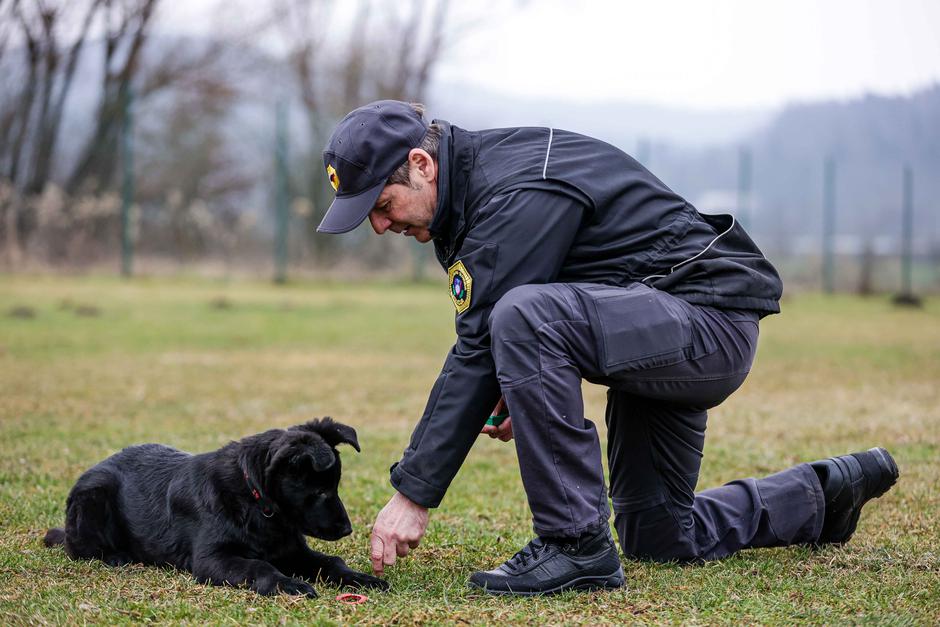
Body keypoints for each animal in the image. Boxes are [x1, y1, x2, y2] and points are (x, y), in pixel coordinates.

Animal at [43, 420, 390, 596]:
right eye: (319, 491)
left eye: (335, 487)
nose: (347, 529)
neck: (257, 503)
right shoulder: (212, 560)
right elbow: (259, 566)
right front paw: (288, 584)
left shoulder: (292, 550)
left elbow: (330, 562)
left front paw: (360, 578)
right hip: (93, 497)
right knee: (77, 547)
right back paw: (117, 556)